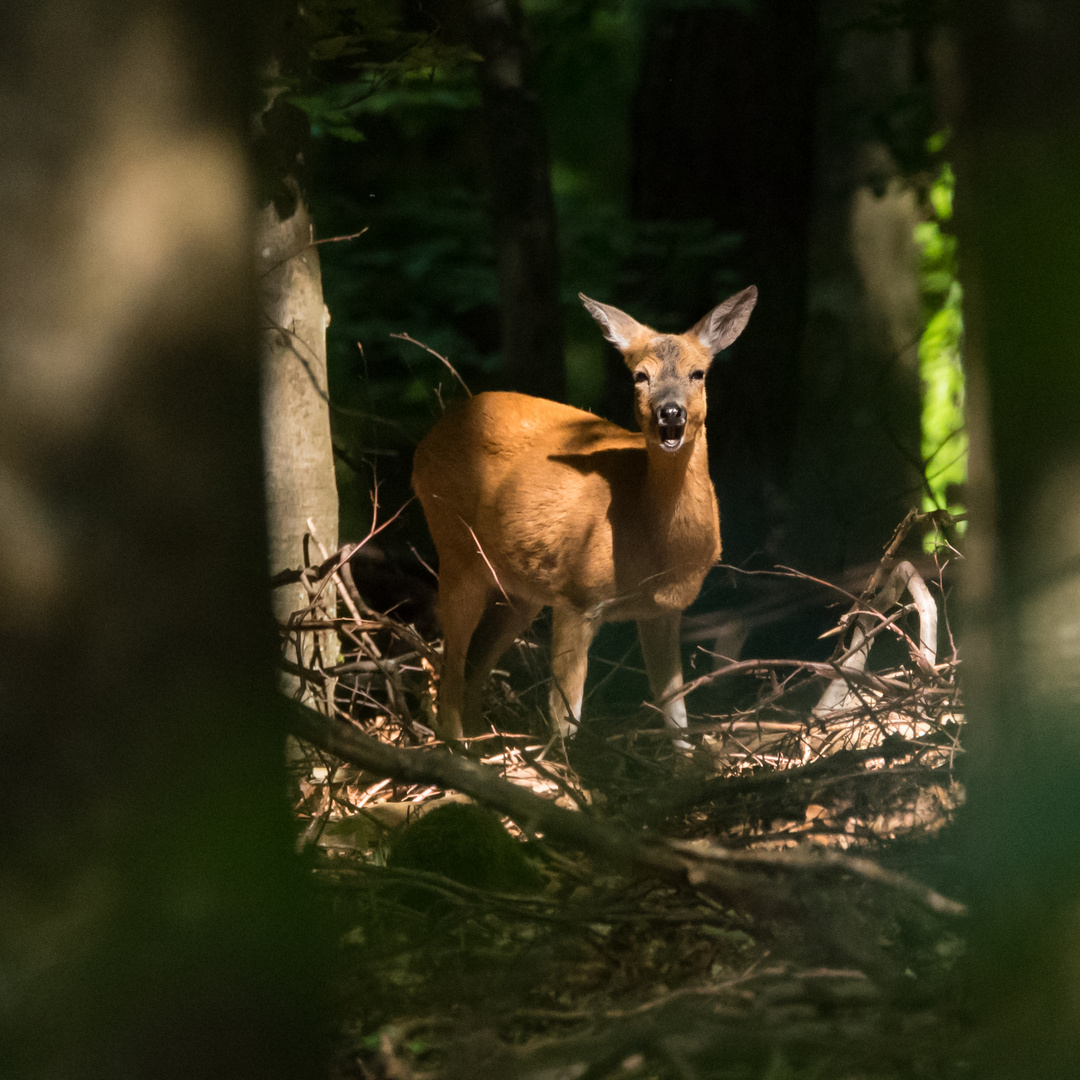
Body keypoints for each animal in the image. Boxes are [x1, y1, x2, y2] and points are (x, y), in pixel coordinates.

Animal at [408, 282, 756, 747]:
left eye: (698, 373)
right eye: (639, 375)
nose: (670, 411)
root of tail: (431, 435)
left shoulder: (664, 610)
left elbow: (676, 713)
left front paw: (687, 761)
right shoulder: (578, 595)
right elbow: (565, 717)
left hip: (520, 590)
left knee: (472, 666)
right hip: (456, 549)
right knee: (448, 669)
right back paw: (458, 749)